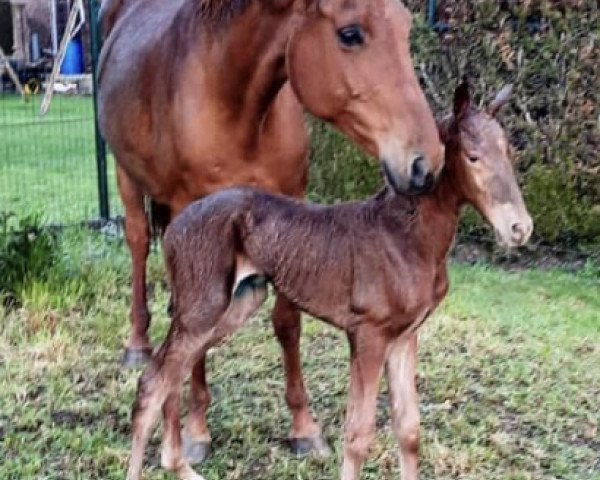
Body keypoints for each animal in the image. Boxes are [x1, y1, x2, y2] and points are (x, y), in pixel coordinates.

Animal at [98, 0, 442, 460]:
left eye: (406, 27)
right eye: (350, 34)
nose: (428, 163)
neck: (235, 103)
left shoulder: (289, 208)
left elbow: (287, 323)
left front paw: (304, 427)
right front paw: (196, 430)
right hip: (128, 177)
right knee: (138, 243)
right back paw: (137, 345)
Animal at [126, 83, 536, 480]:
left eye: (508, 152)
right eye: (472, 156)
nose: (520, 228)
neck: (408, 237)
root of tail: (173, 227)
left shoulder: (405, 337)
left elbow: (408, 429)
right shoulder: (368, 335)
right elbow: (358, 434)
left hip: (236, 304)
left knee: (171, 376)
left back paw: (179, 465)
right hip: (203, 308)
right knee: (153, 381)